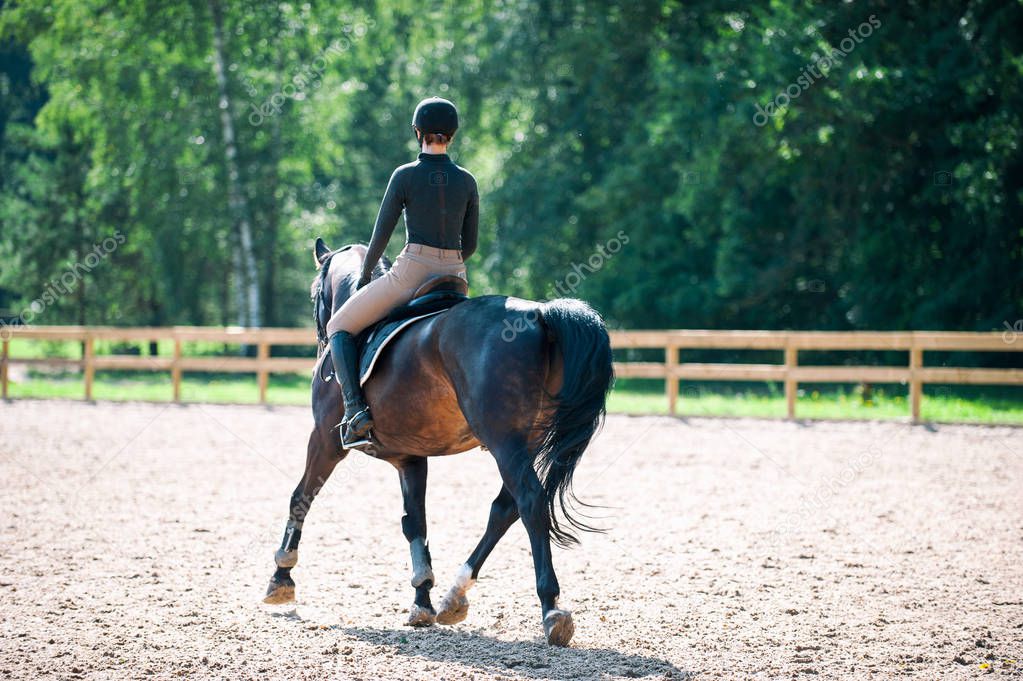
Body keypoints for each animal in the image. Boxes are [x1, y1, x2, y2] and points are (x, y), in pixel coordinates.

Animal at [265, 240, 613, 646]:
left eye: (312, 293)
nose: (320, 338)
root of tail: (540, 313)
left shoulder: (323, 440)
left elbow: (300, 497)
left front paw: (281, 578)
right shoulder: (410, 457)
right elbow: (415, 521)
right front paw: (422, 599)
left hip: (505, 443)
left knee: (530, 502)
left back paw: (551, 608)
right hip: (525, 442)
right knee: (504, 509)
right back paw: (454, 596)